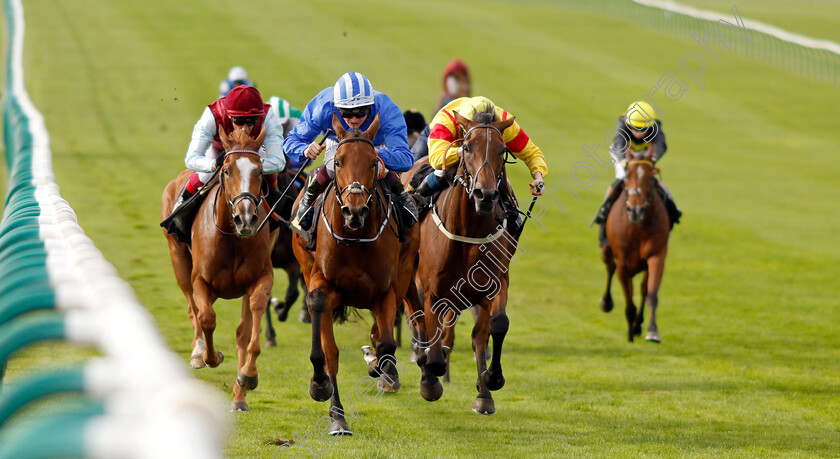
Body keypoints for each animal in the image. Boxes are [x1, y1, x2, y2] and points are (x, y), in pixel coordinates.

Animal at [163, 126, 278, 414]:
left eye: (260, 171)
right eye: (226, 170)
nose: (246, 218)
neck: (232, 237)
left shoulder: (261, 277)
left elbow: (250, 328)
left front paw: (247, 376)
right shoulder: (200, 280)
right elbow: (206, 318)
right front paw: (209, 357)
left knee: (241, 330)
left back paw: (239, 396)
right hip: (179, 261)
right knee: (193, 308)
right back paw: (197, 353)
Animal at [292, 113, 420, 436]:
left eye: (374, 162)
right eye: (338, 162)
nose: (354, 211)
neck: (354, 238)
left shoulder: (385, 290)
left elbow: (386, 343)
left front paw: (380, 366)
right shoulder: (322, 284)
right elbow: (328, 352)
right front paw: (323, 391)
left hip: (404, 272)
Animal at [404, 110, 516, 416]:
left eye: (502, 150)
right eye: (466, 147)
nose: (485, 195)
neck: (468, 231)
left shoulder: (494, 284)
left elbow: (496, 326)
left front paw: (491, 381)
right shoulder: (431, 291)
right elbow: (431, 342)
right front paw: (431, 378)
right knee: (418, 321)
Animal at [596, 149, 668, 344]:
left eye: (650, 177)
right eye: (627, 175)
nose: (636, 210)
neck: (638, 227)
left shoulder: (656, 256)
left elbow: (651, 293)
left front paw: (652, 330)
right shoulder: (623, 263)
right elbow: (629, 301)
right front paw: (630, 332)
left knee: (643, 289)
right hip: (606, 249)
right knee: (610, 267)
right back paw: (607, 303)